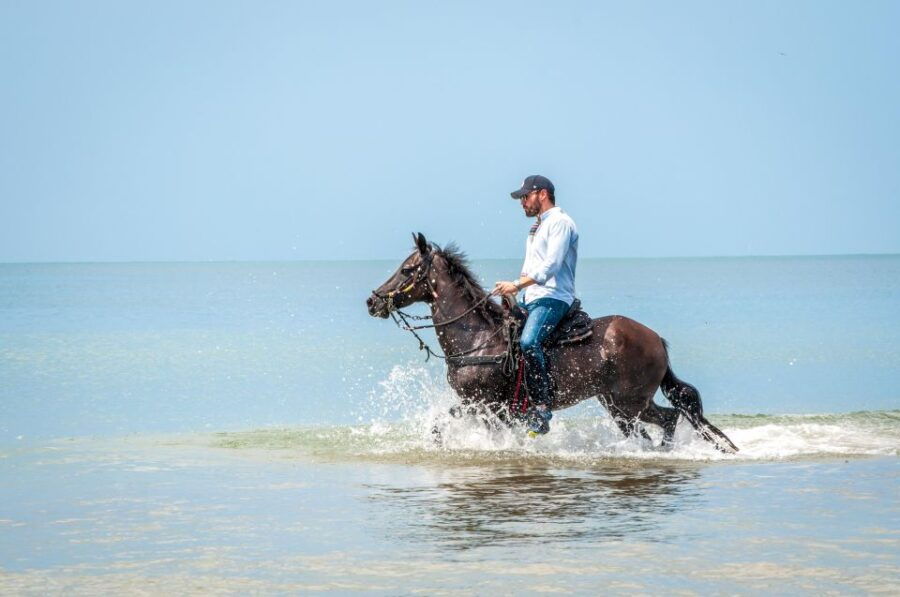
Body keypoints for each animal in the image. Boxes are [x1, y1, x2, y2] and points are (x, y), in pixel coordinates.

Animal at [366, 232, 738, 453]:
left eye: (407, 269)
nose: (372, 301)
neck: (480, 340)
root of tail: (656, 338)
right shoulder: (483, 407)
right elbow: (441, 426)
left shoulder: (486, 404)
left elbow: (446, 425)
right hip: (616, 405)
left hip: (630, 402)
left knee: (671, 418)